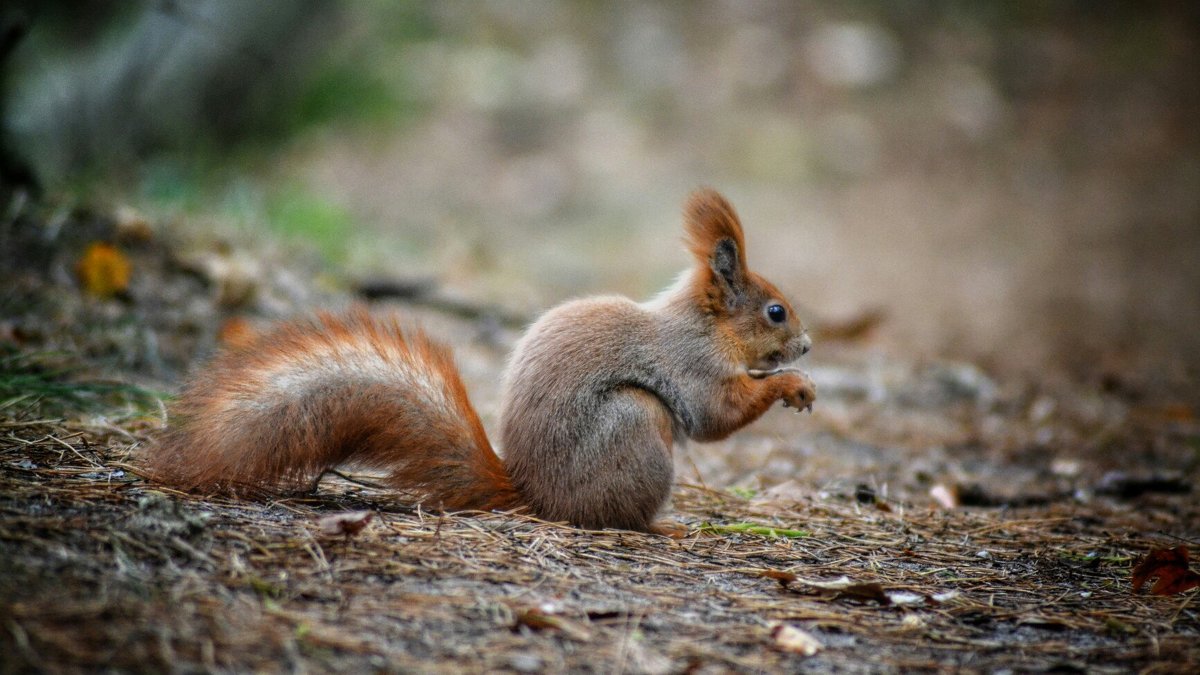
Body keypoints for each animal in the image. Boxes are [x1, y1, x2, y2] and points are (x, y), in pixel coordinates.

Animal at [145, 187, 811, 530]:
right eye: (775, 312)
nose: (806, 346)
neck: (703, 326)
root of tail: (539, 500)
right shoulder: (689, 364)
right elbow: (715, 415)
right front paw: (792, 386)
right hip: (635, 423)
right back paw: (660, 523)